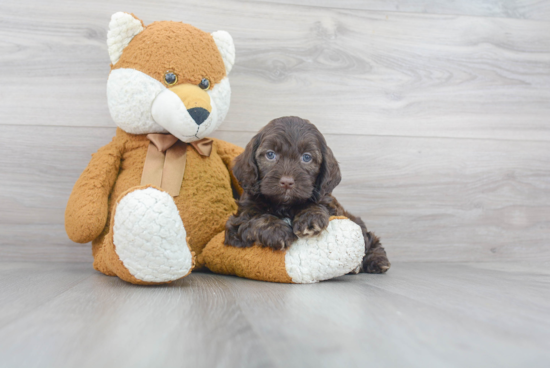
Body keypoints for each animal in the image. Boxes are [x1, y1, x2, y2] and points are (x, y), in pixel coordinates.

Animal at [225, 115, 392, 274]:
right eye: (270, 155)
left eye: (306, 157)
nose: (287, 182)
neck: (284, 205)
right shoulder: (237, 222)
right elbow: (256, 218)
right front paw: (277, 231)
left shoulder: (329, 204)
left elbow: (316, 204)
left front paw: (310, 218)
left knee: (369, 237)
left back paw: (377, 261)